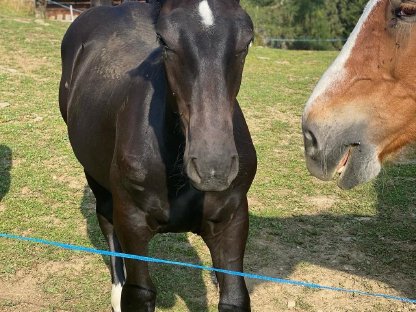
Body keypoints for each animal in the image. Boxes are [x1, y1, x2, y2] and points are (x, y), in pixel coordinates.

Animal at [59, 1, 256, 310]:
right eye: (164, 40)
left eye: (247, 39)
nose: (214, 167)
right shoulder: (132, 221)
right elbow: (140, 292)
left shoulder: (231, 220)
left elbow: (235, 296)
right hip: (95, 175)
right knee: (106, 220)